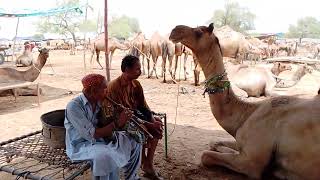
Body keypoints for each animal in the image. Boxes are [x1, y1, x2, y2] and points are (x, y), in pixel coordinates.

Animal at [170, 23, 320, 179]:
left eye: (199, 31)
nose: (174, 30)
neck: (246, 113)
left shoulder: (252, 162)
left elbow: (206, 155)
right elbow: (214, 142)